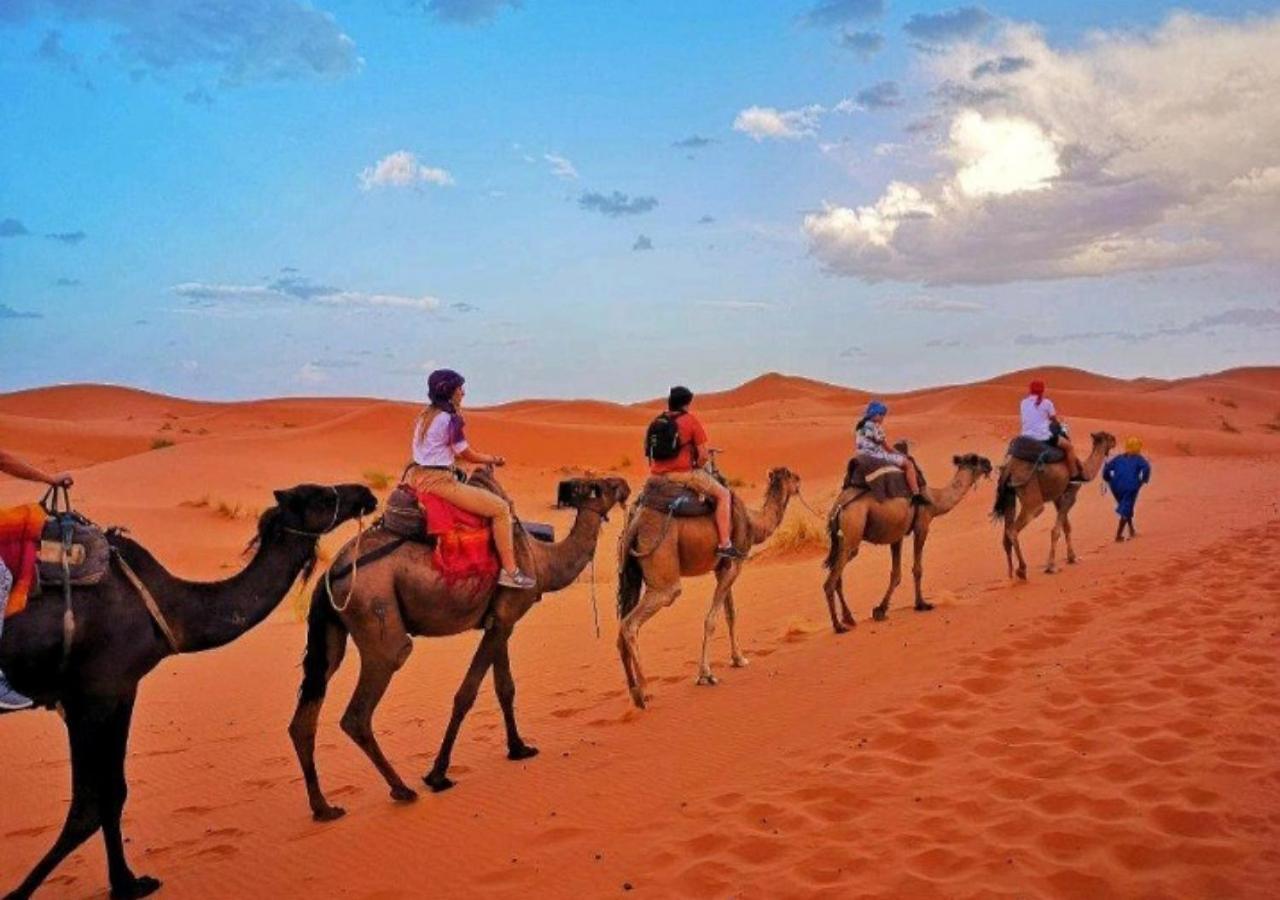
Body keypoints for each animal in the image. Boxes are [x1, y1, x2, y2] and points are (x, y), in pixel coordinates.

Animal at [1, 486, 373, 900]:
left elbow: (112, 792)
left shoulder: (118, 692)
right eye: (321, 497)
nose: (365, 494)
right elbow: (89, 804)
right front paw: (18, 894)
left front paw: (128, 883)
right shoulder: (95, 694)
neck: (168, 608)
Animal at [289, 478, 629, 824]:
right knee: (360, 709)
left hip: (331, 632)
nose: (625, 485)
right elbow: (467, 693)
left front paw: (518, 748)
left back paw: (324, 808)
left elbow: (504, 687)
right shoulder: (506, 617)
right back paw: (402, 790)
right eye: (603, 485)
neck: (541, 559)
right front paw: (437, 775)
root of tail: (330, 574)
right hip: (376, 617)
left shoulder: (500, 620)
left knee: (305, 713)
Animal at [611, 466, 798, 711]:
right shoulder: (734, 566)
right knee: (632, 622)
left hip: (630, 572)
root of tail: (635, 525)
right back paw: (643, 692)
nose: (799, 482)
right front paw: (705, 674)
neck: (753, 523)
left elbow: (731, 614)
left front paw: (738, 658)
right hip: (663, 568)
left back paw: (633, 692)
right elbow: (711, 620)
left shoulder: (724, 568)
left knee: (622, 624)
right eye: (792, 476)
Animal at [824, 450, 993, 634]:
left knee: (837, 576)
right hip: (853, 529)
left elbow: (896, 574)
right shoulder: (922, 525)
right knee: (831, 581)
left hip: (842, 539)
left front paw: (880, 610)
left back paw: (848, 618)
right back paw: (838, 626)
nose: (989, 464)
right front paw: (921, 604)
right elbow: (917, 569)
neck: (935, 499)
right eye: (976, 459)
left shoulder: (897, 535)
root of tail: (838, 507)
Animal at [993, 432, 1116, 581]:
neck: (1084, 470)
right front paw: (1051, 566)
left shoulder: (1058, 498)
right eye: (1109, 437)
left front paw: (1072, 558)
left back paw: (1011, 573)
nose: (1115, 440)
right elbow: (1056, 530)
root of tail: (1009, 469)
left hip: (1009, 495)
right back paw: (1022, 569)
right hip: (1030, 491)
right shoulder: (1070, 494)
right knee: (1015, 527)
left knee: (1006, 532)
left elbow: (1067, 527)